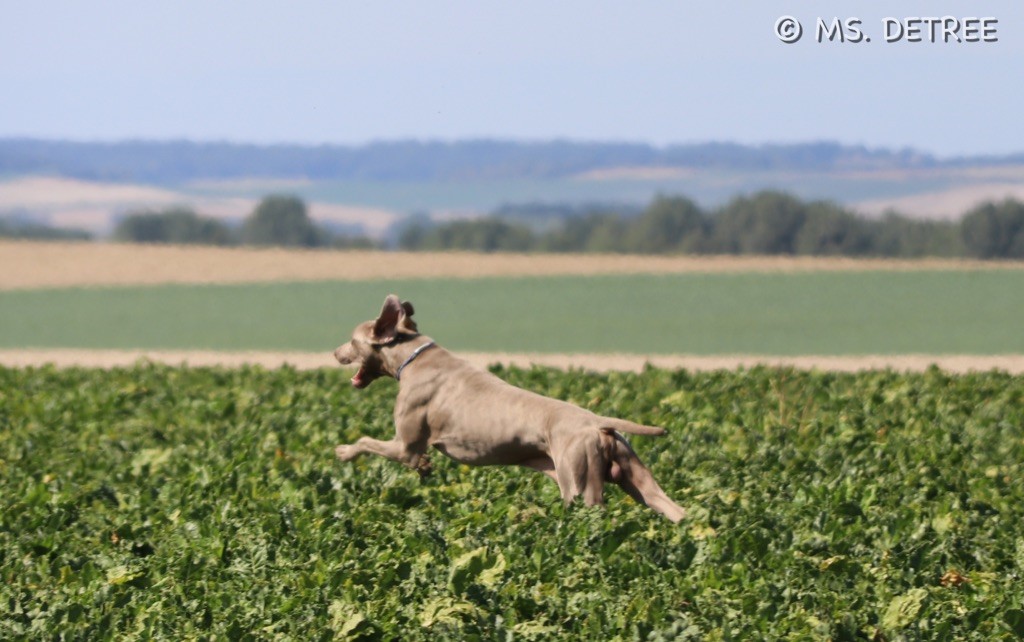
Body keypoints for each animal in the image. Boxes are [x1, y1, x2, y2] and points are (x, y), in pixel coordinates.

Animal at [335, 296, 688, 522]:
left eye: (351, 341)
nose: (335, 352)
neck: (412, 356)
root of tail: (597, 423)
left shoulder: (404, 445)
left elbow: (366, 441)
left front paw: (344, 452)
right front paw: (424, 467)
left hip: (580, 485)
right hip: (637, 478)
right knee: (675, 509)